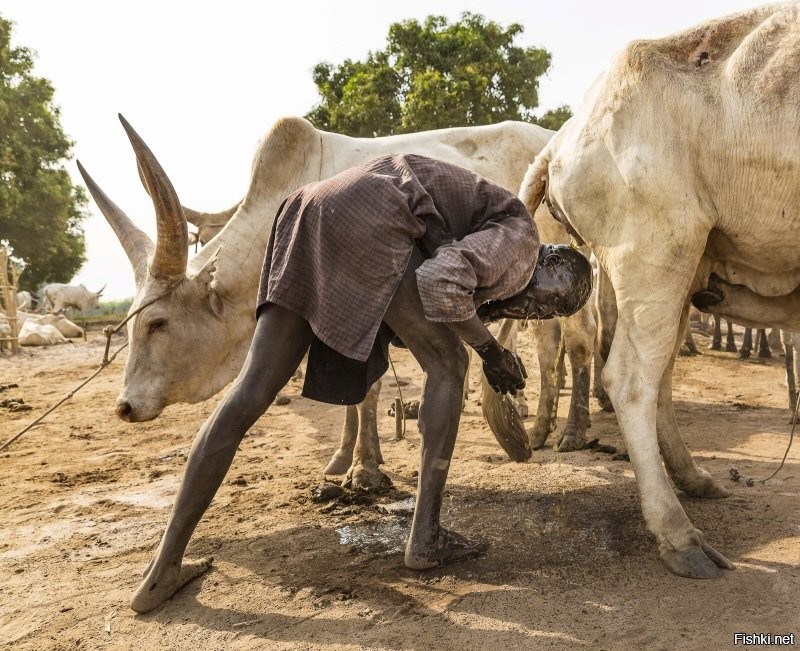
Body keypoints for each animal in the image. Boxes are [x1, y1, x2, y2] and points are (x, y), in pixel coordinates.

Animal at [79, 114, 592, 486]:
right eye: (132, 324)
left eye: (158, 323)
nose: (125, 406)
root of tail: (549, 140)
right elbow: (349, 393)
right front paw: (343, 458)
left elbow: (368, 392)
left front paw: (364, 468)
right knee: (549, 347)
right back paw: (538, 427)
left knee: (572, 346)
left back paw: (568, 430)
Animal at [520, 2, 800, 580]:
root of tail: (565, 134)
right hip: (658, 247)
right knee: (630, 378)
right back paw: (679, 537)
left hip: (684, 265)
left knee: (660, 374)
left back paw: (694, 480)